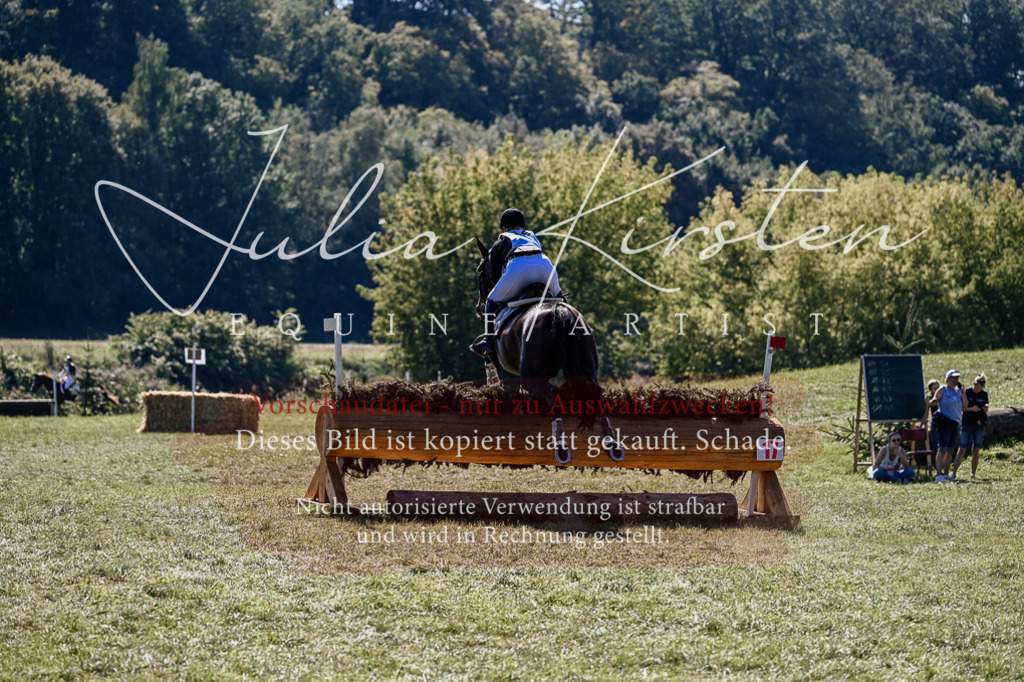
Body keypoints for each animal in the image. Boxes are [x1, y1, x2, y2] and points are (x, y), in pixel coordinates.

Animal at [473, 237, 624, 463]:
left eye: (480, 270)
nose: (479, 308)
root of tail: (558, 312)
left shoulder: (495, 355)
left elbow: (487, 357)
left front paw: (493, 384)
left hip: (532, 377)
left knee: (553, 395)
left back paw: (561, 447)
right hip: (587, 369)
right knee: (596, 394)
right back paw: (611, 444)